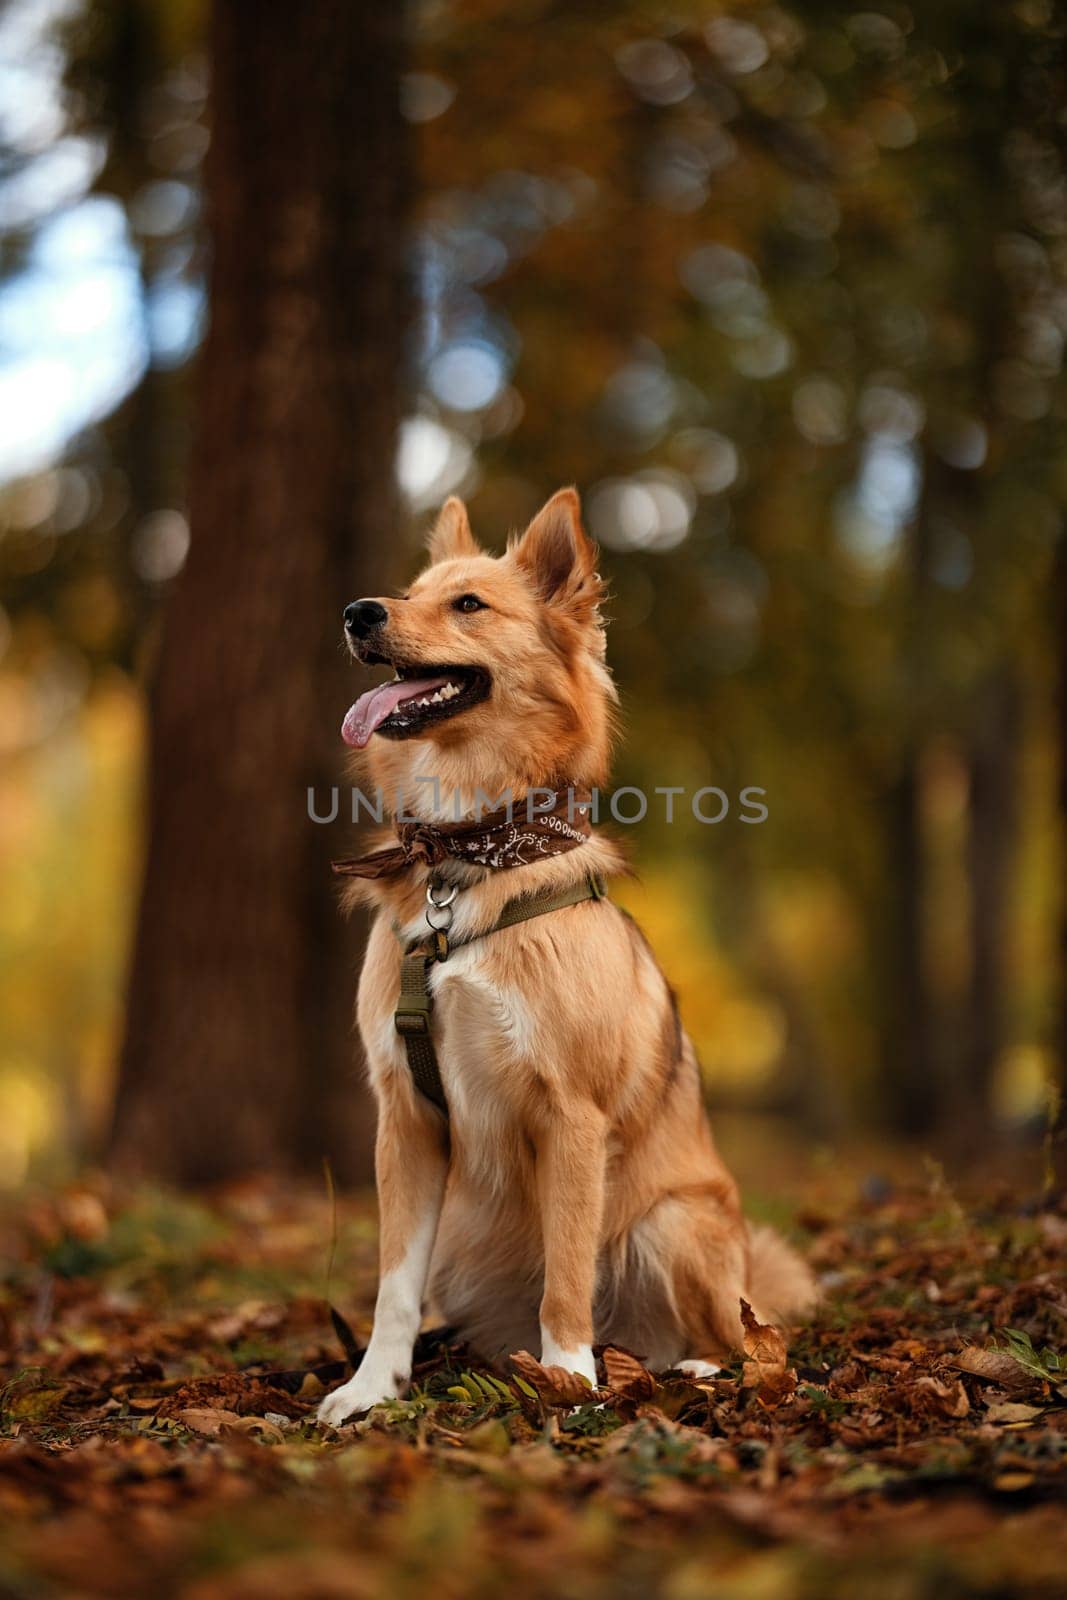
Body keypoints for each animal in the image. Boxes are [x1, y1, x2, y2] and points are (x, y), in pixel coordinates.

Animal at [316, 486, 819, 1427]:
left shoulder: (572, 1118)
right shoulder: (405, 1119)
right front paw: (372, 1387)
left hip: (674, 1223)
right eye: (407, 592)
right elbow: (393, 1284)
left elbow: (567, 1274)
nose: (359, 612)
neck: (469, 863)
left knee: (738, 1337)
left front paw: (569, 1383)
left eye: (467, 605)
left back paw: (678, 1368)